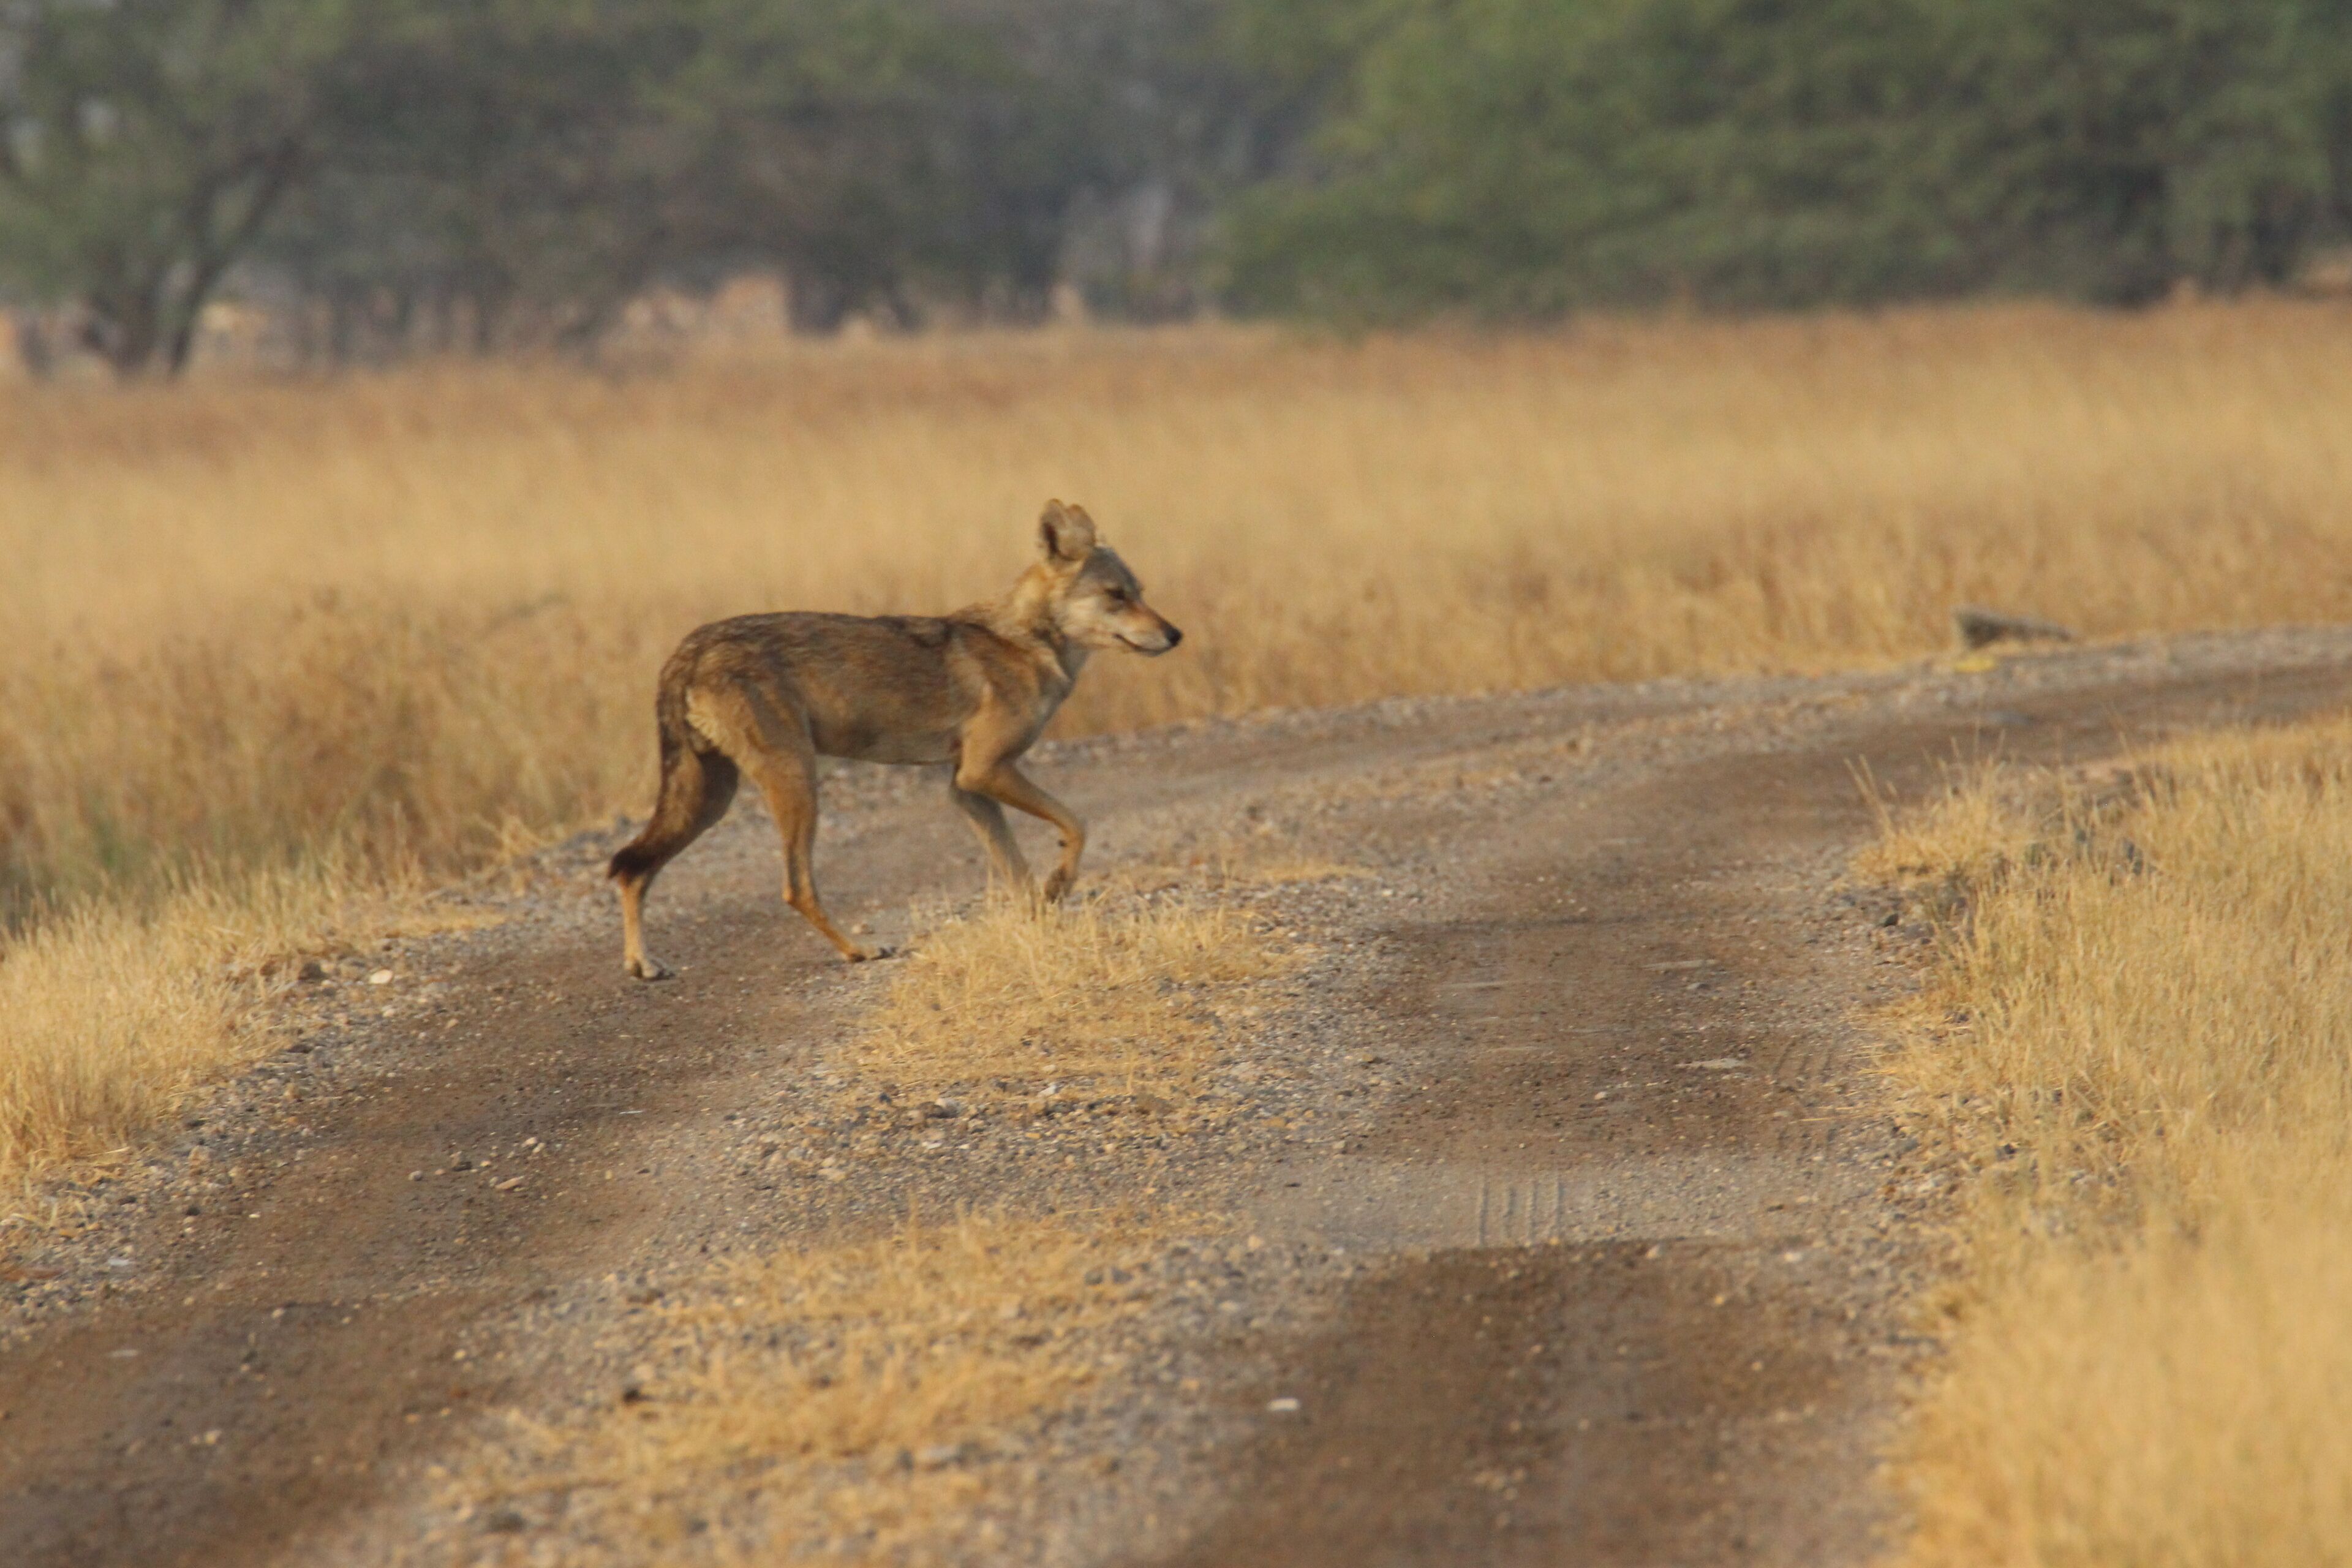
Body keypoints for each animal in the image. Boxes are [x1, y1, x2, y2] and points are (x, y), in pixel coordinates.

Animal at [607, 500, 1183, 977]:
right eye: (1116, 596)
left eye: (1142, 594)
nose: (1175, 635)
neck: (1027, 643)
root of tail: (690, 647)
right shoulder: (986, 770)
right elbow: (1077, 825)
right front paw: (1059, 885)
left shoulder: (965, 788)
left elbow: (1018, 870)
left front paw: (1043, 924)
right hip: (794, 783)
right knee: (795, 887)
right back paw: (858, 951)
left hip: (711, 799)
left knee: (632, 869)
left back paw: (642, 964)